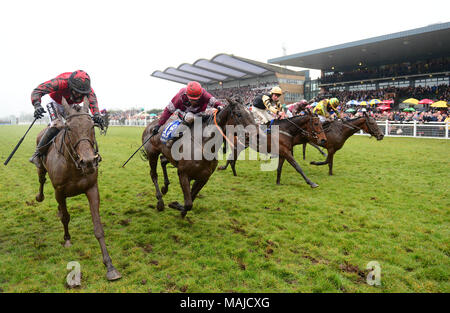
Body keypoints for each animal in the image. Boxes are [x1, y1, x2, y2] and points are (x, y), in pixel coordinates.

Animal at [33, 95, 121, 280]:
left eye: (92, 127)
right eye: (69, 128)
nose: (88, 161)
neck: (73, 165)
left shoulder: (92, 188)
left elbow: (98, 228)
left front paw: (110, 266)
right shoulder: (59, 191)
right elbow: (66, 217)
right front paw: (67, 239)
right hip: (41, 167)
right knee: (41, 178)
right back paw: (39, 196)